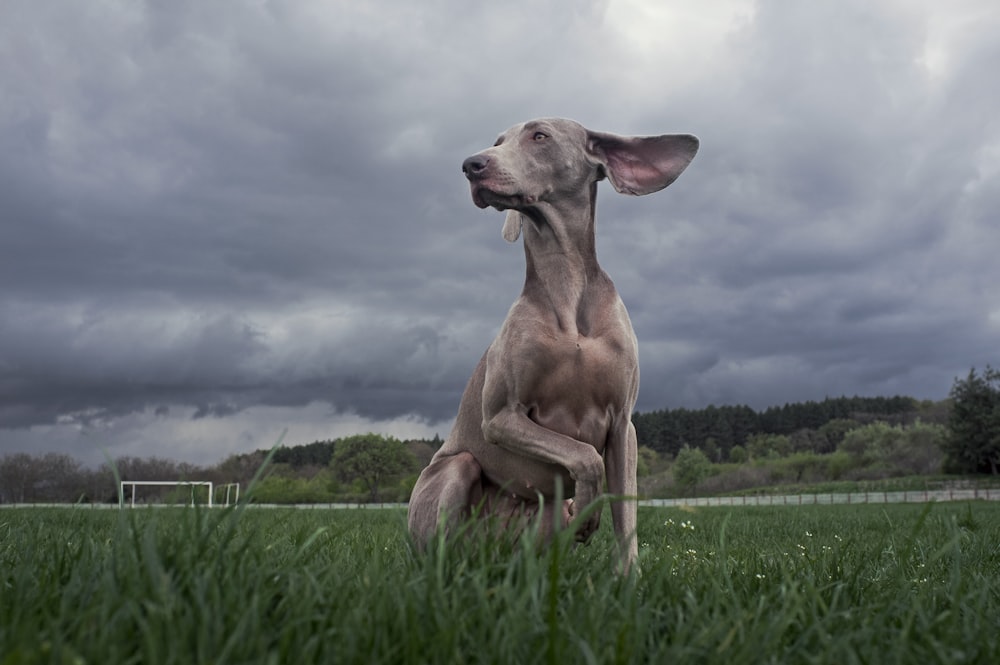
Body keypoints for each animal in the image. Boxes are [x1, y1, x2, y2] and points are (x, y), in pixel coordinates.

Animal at [406, 115, 696, 572]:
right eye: (497, 141)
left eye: (539, 135)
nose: (471, 165)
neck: (566, 286)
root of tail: (494, 552)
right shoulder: (501, 417)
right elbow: (584, 456)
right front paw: (589, 518)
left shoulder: (623, 423)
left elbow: (624, 506)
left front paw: (627, 575)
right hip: (454, 471)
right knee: (444, 543)